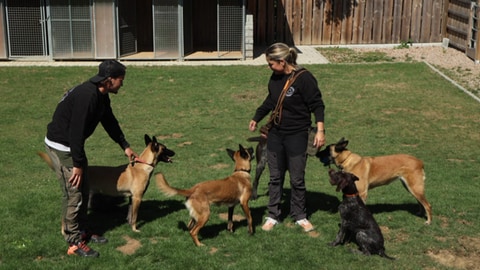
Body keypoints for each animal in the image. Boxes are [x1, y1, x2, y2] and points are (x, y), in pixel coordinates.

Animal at [39, 134, 174, 231]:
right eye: (165, 148)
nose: (174, 152)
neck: (142, 166)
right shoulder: (137, 197)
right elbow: (135, 216)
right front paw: (135, 229)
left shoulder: (131, 198)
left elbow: (130, 215)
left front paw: (129, 226)